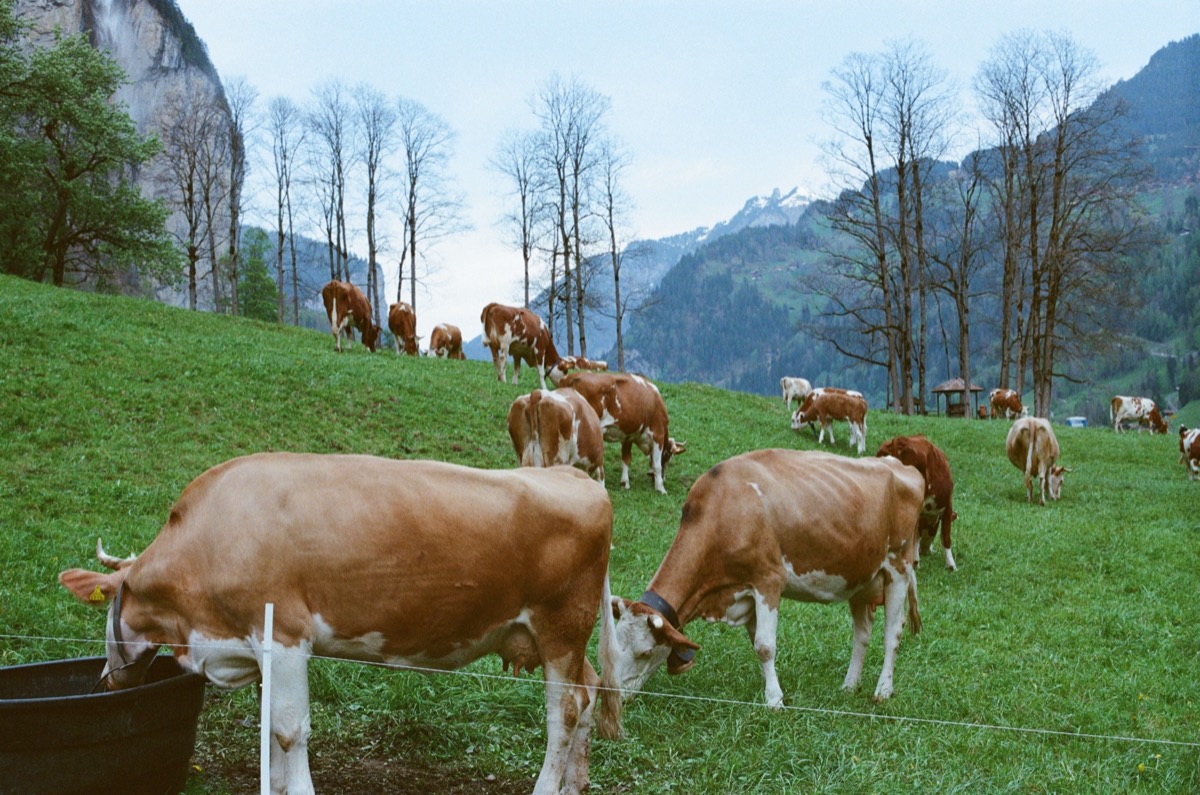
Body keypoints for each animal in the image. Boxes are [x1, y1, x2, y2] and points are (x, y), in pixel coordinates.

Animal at [58, 453, 622, 795]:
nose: (103, 683)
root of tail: (572, 474)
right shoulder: (256, 644)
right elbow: (269, 726)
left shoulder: (285, 634)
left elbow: (289, 729)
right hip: (562, 639)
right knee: (590, 692)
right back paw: (575, 784)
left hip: (559, 628)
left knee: (566, 711)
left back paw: (547, 787)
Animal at [557, 371, 685, 494]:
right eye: (669, 456)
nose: (663, 478)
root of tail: (574, 376)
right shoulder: (658, 435)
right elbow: (657, 464)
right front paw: (660, 488)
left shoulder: (628, 436)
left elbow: (626, 459)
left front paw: (625, 482)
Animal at [603, 449, 924, 719]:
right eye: (614, 647)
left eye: (645, 652)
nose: (617, 697)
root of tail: (900, 465)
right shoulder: (744, 593)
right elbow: (756, 642)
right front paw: (769, 686)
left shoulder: (768, 581)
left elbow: (765, 646)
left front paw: (774, 700)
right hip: (860, 579)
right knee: (862, 634)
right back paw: (849, 685)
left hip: (898, 567)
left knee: (892, 634)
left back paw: (883, 690)